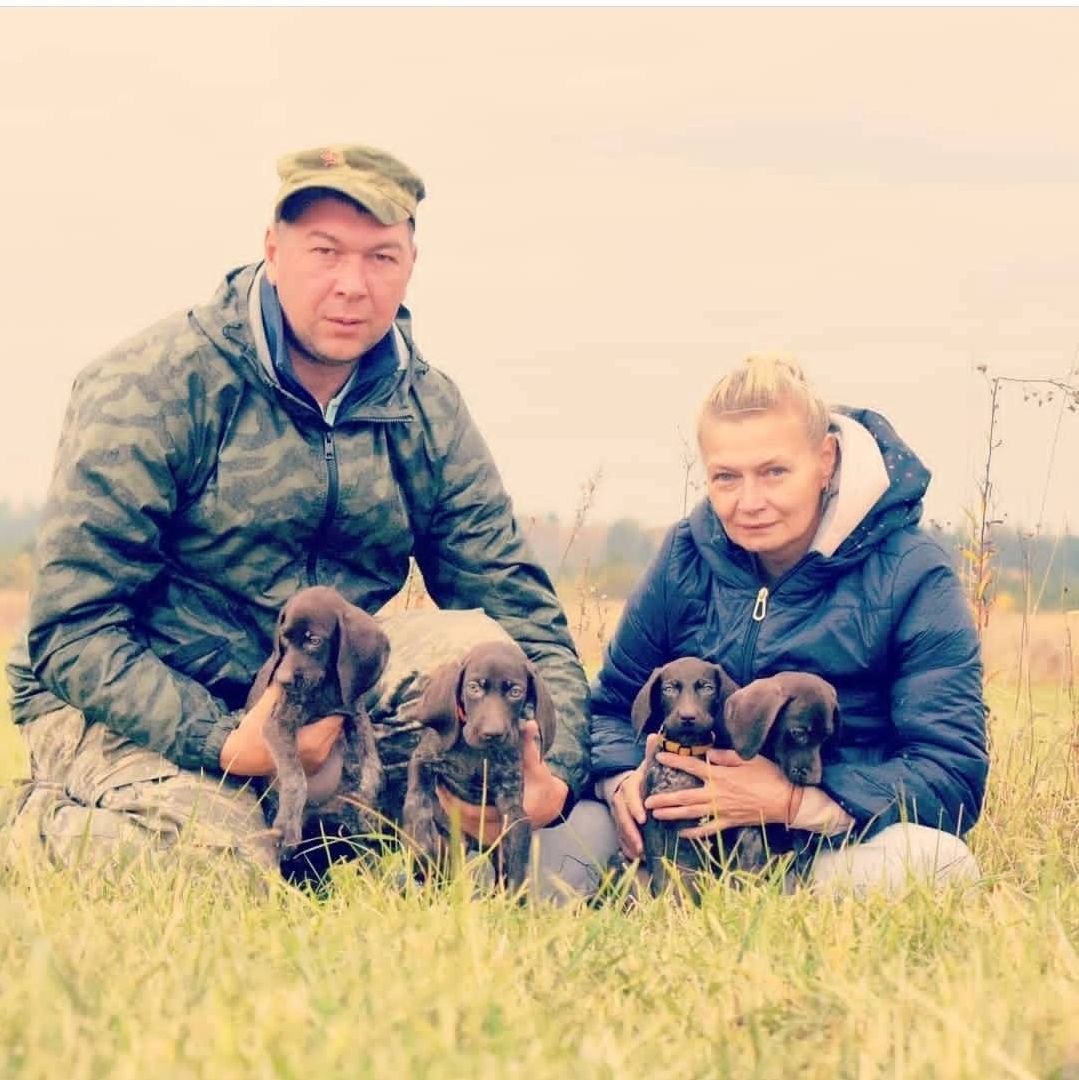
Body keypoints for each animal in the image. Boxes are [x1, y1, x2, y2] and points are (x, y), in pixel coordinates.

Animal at [246, 585, 390, 863]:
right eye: (284, 639)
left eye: (314, 641)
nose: (282, 680)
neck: (325, 690)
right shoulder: (278, 724)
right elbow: (295, 776)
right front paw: (288, 827)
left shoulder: (354, 714)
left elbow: (371, 763)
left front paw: (368, 801)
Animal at [402, 640, 557, 892]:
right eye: (474, 688)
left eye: (515, 692)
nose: (492, 734)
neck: (474, 754)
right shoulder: (423, 759)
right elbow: (417, 801)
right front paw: (420, 847)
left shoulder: (512, 805)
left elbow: (516, 863)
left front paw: (513, 898)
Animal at [631, 656, 740, 897]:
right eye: (669, 689)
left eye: (707, 688)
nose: (688, 717)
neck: (685, 749)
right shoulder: (653, 823)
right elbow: (660, 871)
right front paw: (665, 902)